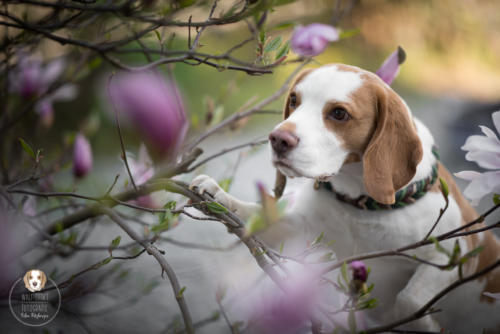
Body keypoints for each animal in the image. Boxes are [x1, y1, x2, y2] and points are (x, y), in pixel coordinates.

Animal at [190, 64, 500, 332]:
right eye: (294, 100)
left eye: (339, 113)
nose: (278, 139)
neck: (359, 204)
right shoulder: (290, 227)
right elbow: (254, 213)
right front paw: (217, 194)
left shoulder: (456, 255)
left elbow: (408, 299)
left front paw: (425, 325)